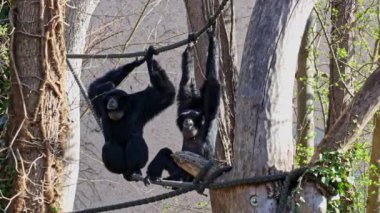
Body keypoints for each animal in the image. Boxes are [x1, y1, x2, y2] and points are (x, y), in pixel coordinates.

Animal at [88, 47, 176, 181]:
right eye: (110, 98)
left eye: (115, 97)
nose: (111, 101)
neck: (123, 110)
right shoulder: (101, 100)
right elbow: (94, 87)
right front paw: (135, 63)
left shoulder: (142, 101)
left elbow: (166, 93)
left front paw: (149, 59)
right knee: (110, 144)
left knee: (135, 139)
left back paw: (134, 170)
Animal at [146, 32, 223, 183]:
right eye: (185, 115)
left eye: (192, 116)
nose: (188, 120)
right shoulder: (185, 102)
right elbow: (187, 82)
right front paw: (190, 45)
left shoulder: (210, 107)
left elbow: (212, 81)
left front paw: (212, 39)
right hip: (178, 170)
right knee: (165, 153)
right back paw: (152, 176)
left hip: (191, 174)